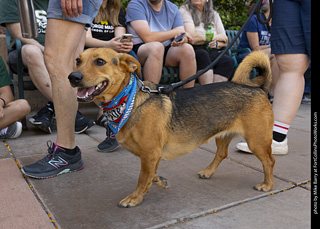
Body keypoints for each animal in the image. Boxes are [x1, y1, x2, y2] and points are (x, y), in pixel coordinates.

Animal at [68, 49, 276, 208]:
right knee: (222, 154)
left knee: (269, 161)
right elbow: (149, 175)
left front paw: (135, 198)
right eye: (78, 60)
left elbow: (142, 178)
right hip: (223, 135)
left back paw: (267, 185)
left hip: (256, 141)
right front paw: (157, 181)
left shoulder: (150, 154)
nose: (73, 77)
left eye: (100, 61)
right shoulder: (152, 156)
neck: (129, 101)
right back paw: (208, 172)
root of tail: (259, 89)